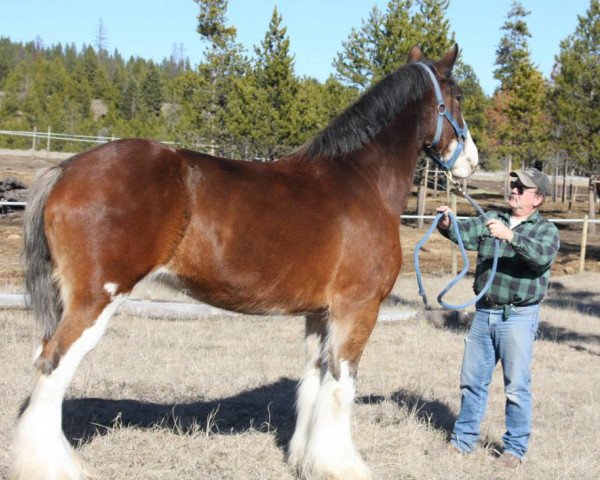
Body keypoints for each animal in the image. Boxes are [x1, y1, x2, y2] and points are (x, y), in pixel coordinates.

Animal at [10, 46, 478, 480]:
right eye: (457, 95)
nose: (472, 161)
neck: (359, 180)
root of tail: (65, 169)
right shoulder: (358, 308)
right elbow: (342, 383)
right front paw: (344, 465)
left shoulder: (320, 314)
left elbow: (314, 380)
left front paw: (307, 460)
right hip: (96, 300)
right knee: (53, 365)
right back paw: (53, 466)